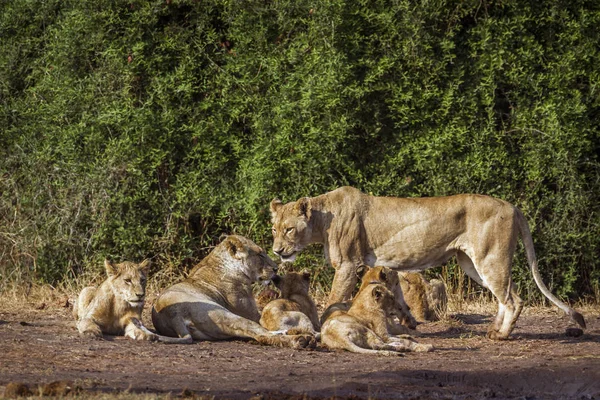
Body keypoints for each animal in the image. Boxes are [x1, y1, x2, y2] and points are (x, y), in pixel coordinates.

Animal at [151, 236, 314, 348]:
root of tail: (173, 314)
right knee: (261, 333)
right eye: (260, 254)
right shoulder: (253, 314)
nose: (275, 268)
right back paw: (300, 340)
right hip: (224, 315)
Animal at [272, 186, 584, 340]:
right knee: (505, 296)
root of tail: (513, 206)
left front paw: (324, 327)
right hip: (473, 263)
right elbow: (398, 297)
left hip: (490, 257)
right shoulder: (385, 268)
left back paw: (502, 336)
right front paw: (408, 321)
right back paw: (494, 329)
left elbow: (334, 300)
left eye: (289, 229)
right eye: (274, 228)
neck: (322, 219)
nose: (277, 250)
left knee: (513, 299)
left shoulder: (348, 264)